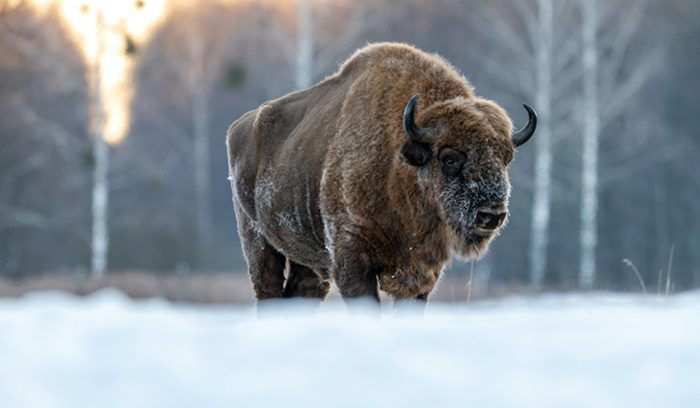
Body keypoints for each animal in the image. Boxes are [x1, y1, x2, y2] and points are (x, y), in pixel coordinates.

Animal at [226, 42, 536, 305]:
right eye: (449, 158)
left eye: (506, 158)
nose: (491, 214)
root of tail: (239, 127)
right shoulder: (351, 256)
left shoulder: (422, 271)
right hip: (257, 241)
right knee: (268, 290)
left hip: (308, 260)